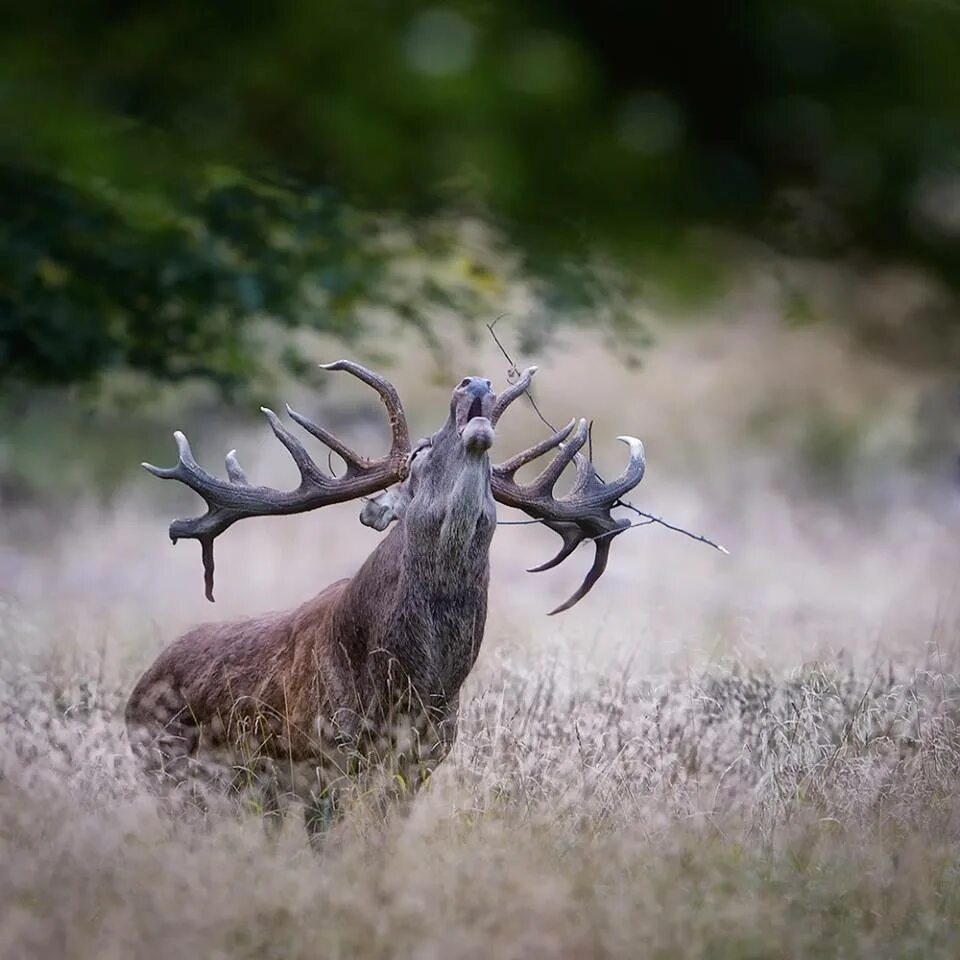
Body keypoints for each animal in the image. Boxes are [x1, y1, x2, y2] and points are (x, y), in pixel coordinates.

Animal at [124, 364, 640, 828]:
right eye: (418, 457)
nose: (475, 383)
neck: (411, 685)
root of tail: (133, 699)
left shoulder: (420, 764)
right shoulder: (320, 761)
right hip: (173, 775)